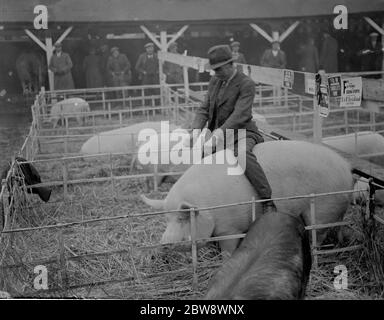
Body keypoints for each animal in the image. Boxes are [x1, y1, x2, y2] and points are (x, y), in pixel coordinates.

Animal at [142, 140, 354, 252]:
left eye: (182, 218)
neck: (208, 207)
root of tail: (346, 168)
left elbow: (228, 250)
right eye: (166, 218)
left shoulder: (230, 228)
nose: (164, 243)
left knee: (319, 233)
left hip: (324, 207)